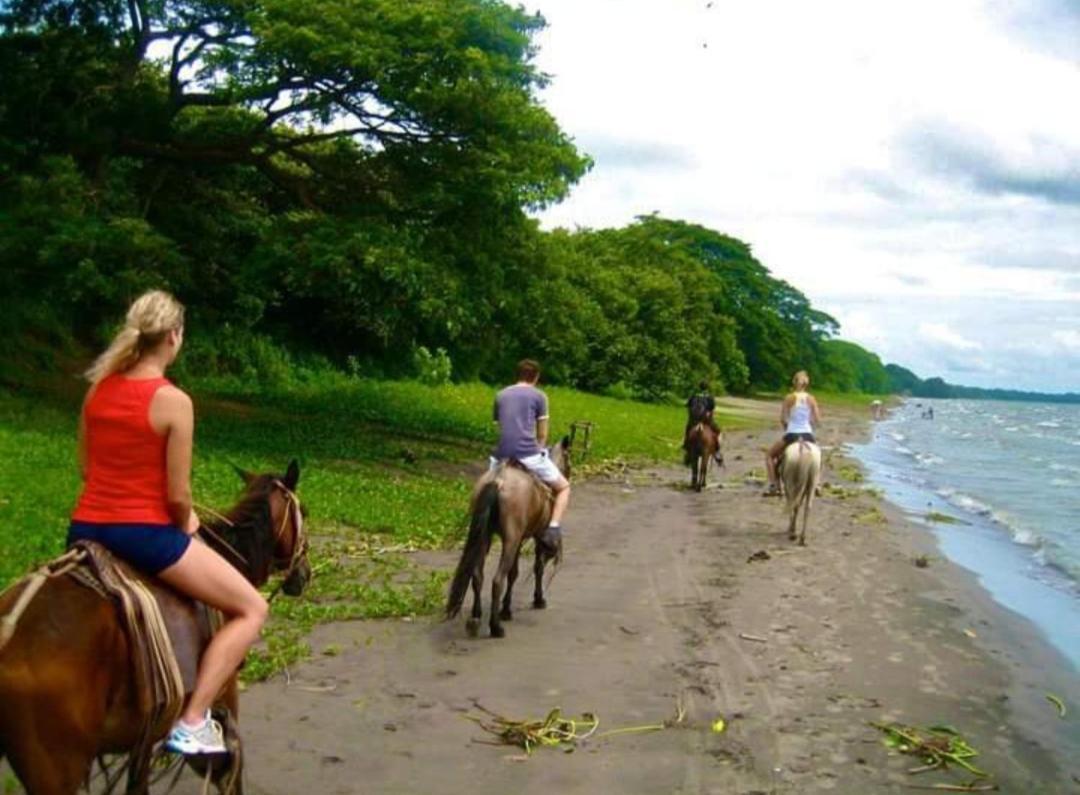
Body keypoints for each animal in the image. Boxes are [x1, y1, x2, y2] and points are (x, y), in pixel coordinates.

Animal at [1, 460, 313, 795]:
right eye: (304, 512)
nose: (305, 574)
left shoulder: (148, 727)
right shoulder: (224, 696)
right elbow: (229, 774)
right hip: (59, 771)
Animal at [442, 438, 570, 643]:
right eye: (569, 460)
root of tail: (498, 481)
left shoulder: (520, 540)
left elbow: (515, 572)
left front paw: (507, 608)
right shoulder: (534, 536)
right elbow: (534, 568)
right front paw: (533, 601)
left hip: (485, 536)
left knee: (477, 576)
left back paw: (476, 617)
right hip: (510, 539)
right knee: (497, 580)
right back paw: (495, 627)